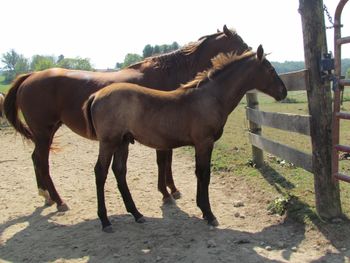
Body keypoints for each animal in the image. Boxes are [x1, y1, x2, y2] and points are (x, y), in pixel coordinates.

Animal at [3, 24, 249, 210]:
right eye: (241, 44)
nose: (251, 52)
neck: (168, 74)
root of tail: (30, 76)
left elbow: (167, 161)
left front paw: (172, 189)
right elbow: (162, 161)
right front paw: (166, 193)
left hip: (48, 130)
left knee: (36, 158)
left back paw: (45, 195)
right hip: (44, 132)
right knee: (42, 161)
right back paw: (58, 200)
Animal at [84, 46, 288, 233]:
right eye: (270, 69)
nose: (284, 92)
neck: (211, 97)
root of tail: (95, 95)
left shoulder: (201, 144)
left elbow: (199, 173)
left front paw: (203, 210)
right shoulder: (204, 142)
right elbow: (204, 174)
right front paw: (209, 214)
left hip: (122, 142)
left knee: (119, 171)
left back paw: (137, 214)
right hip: (109, 142)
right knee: (100, 172)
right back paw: (105, 221)